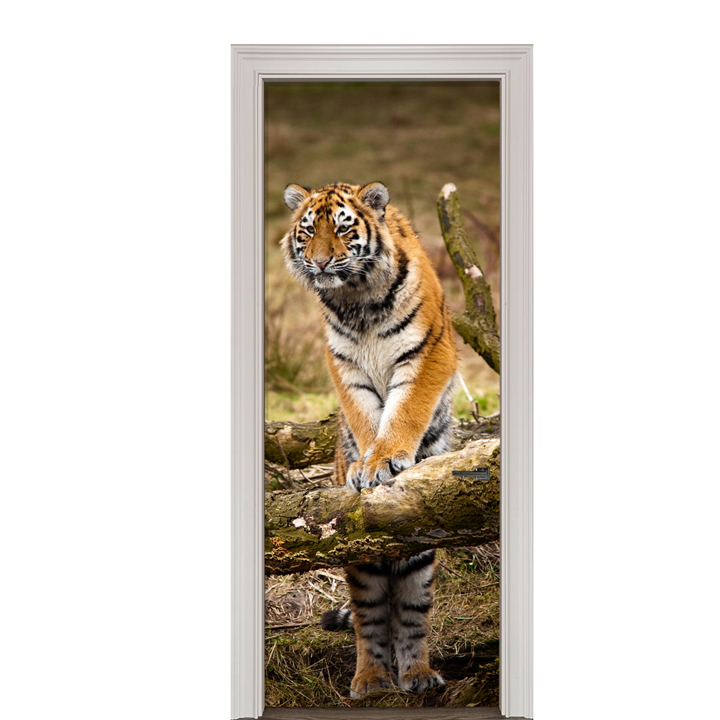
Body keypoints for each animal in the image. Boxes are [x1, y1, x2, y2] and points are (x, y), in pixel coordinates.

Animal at [281, 181, 458, 698]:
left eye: (343, 228)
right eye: (307, 232)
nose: (321, 263)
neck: (355, 299)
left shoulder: (429, 351)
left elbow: (406, 409)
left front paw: (386, 458)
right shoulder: (344, 363)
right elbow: (364, 417)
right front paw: (366, 464)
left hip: (420, 554)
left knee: (412, 617)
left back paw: (418, 675)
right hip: (359, 556)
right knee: (370, 619)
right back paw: (372, 680)